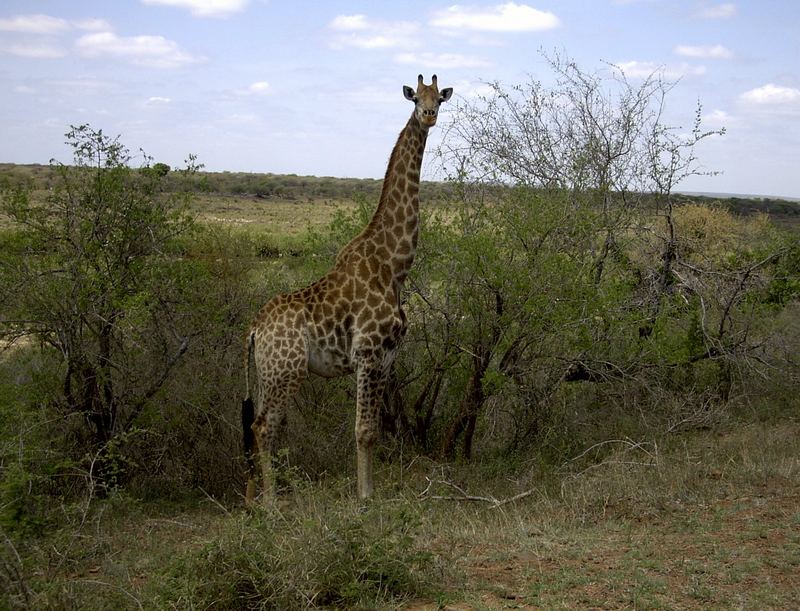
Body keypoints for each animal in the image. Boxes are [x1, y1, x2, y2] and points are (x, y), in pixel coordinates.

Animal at [241, 74, 454, 504]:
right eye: (415, 99)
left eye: (439, 98)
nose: (428, 115)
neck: (394, 265)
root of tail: (254, 330)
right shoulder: (368, 355)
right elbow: (365, 432)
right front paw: (365, 498)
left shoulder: (386, 359)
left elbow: (372, 431)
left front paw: (367, 492)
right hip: (285, 371)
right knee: (264, 427)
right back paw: (271, 505)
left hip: (267, 374)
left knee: (257, 425)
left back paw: (257, 498)